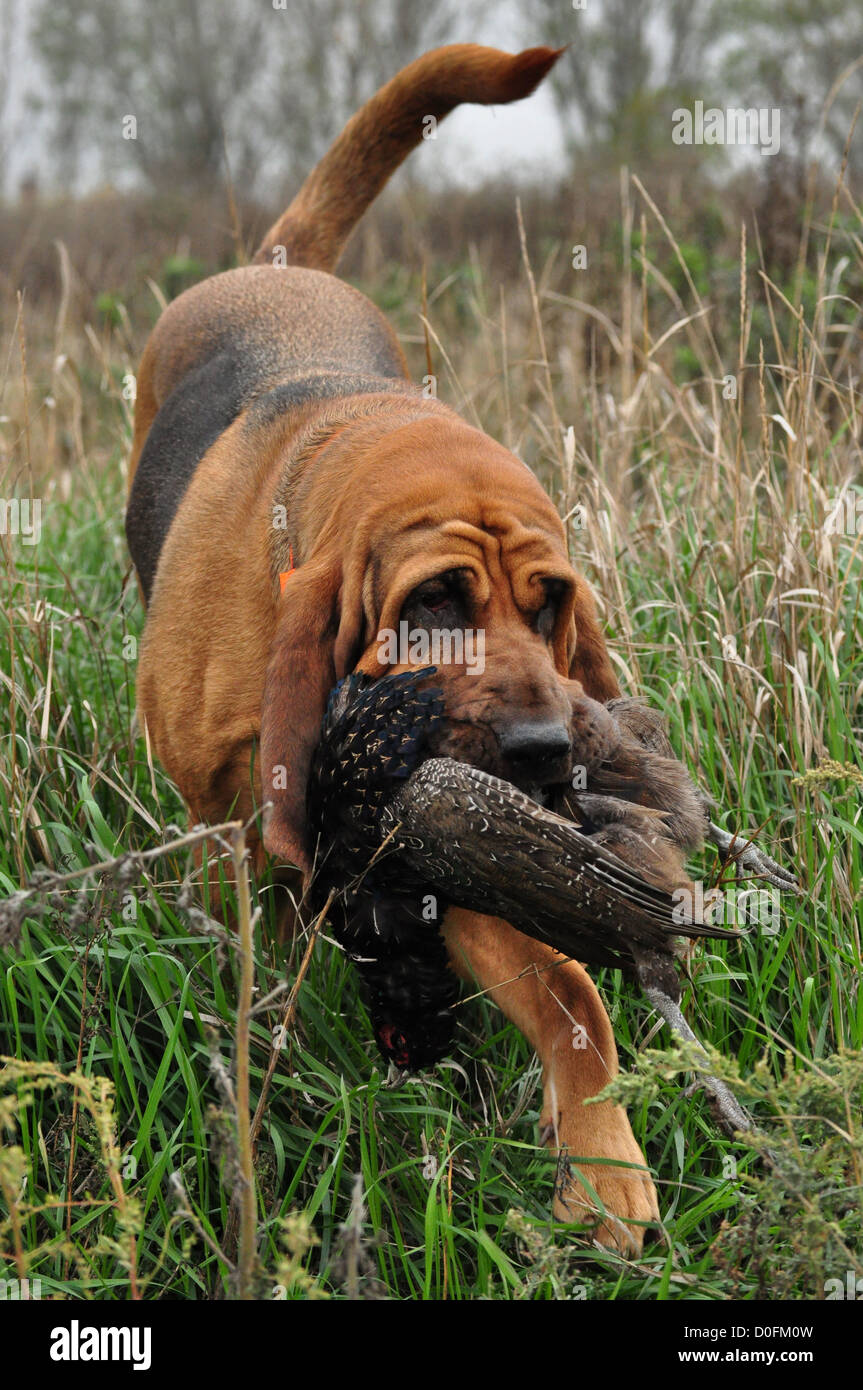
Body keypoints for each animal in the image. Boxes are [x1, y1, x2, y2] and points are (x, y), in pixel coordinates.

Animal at [122, 48, 658, 1256]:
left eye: (551, 605)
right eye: (436, 598)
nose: (544, 751)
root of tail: (271, 269)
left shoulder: (448, 852)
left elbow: (569, 995)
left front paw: (604, 1171)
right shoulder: (234, 842)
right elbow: (254, 970)